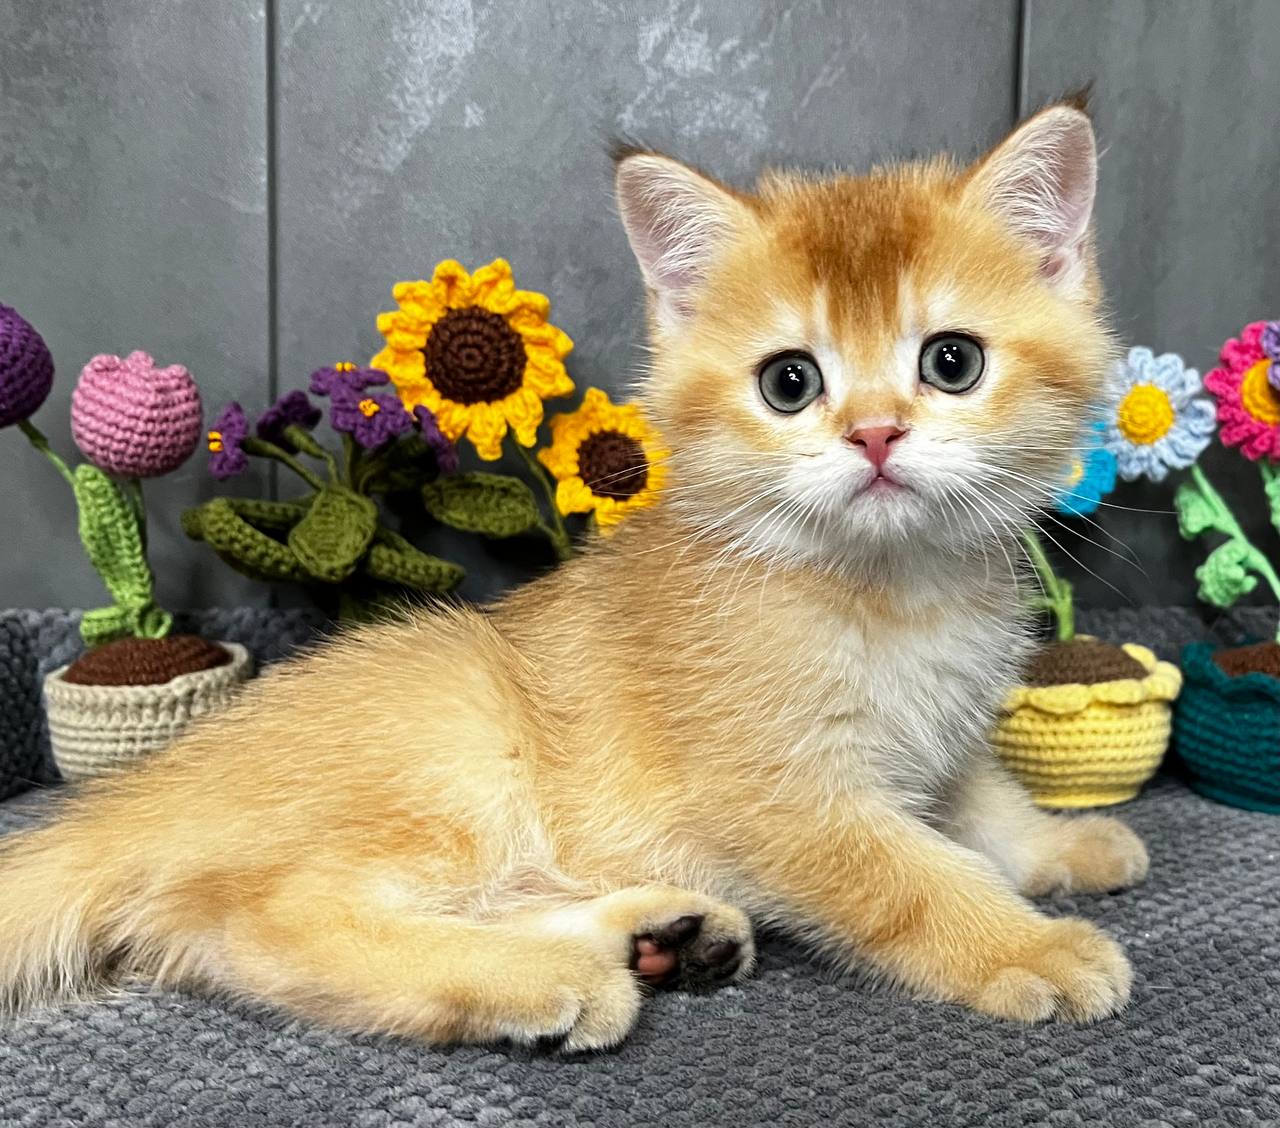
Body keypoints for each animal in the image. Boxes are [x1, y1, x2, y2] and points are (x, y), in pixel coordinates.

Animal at [0, 100, 1145, 1052]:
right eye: (789, 383)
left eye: (951, 362)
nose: (873, 434)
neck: (890, 589)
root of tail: (160, 784)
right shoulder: (788, 796)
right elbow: (913, 875)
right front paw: (1026, 945)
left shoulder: (946, 733)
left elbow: (980, 801)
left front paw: (1060, 844)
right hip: (455, 747)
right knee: (246, 923)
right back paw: (538, 979)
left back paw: (652, 929)